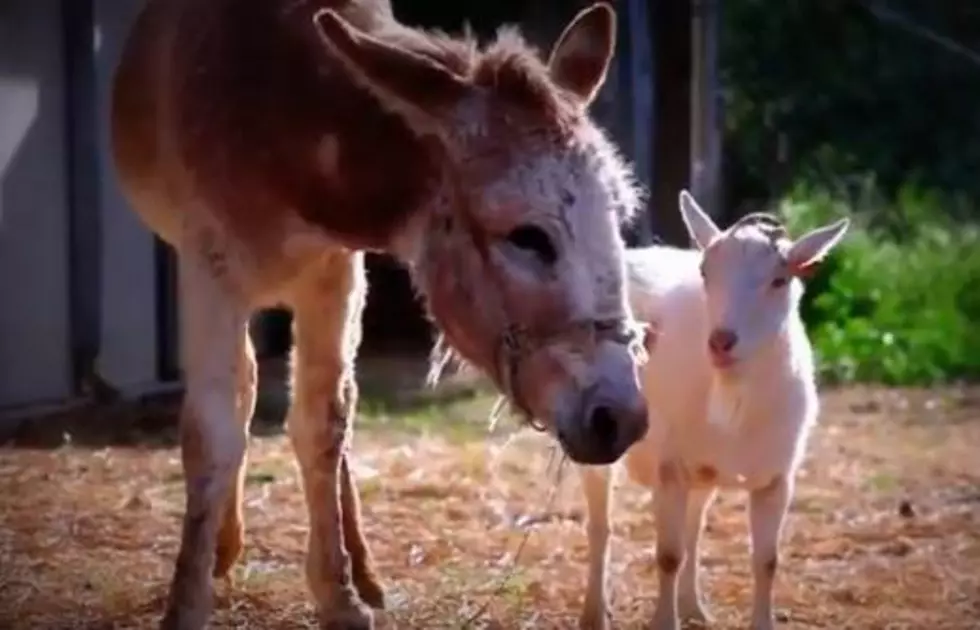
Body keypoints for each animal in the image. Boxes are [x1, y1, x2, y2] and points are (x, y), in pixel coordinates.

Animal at [580, 191, 848, 630]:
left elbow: (766, 562)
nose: (721, 342)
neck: (731, 393)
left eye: (779, 280)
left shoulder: (777, 479)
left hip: (703, 467)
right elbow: (668, 556)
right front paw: (663, 623)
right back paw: (594, 614)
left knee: (695, 525)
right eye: (706, 272)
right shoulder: (670, 467)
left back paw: (694, 607)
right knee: (600, 525)